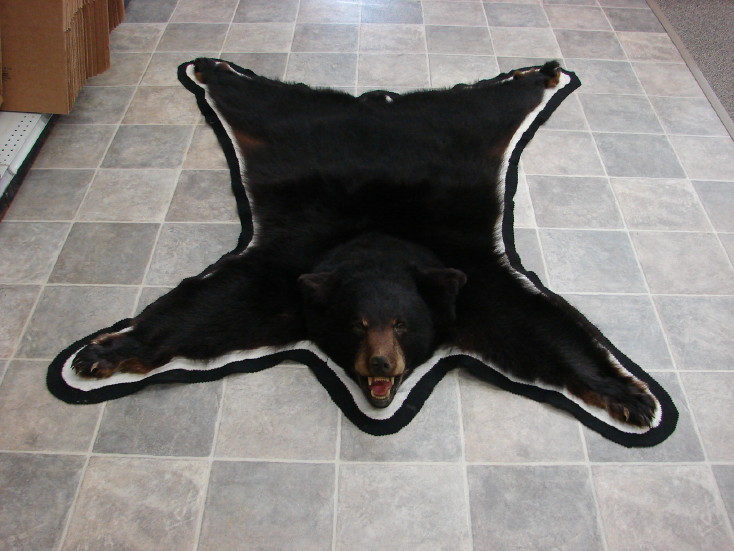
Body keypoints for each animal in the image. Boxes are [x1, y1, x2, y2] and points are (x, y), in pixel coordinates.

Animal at [71, 58, 658, 428]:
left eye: (402, 324)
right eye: (356, 324)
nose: (380, 364)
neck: (380, 242)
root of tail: (376, 106)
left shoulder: (469, 282)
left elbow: (542, 331)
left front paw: (629, 396)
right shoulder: (289, 275)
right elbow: (209, 310)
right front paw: (104, 352)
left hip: (469, 129)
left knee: (495, 102)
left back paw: (539, 72)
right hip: (287, 129)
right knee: (256, 99)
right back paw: (214, 69)